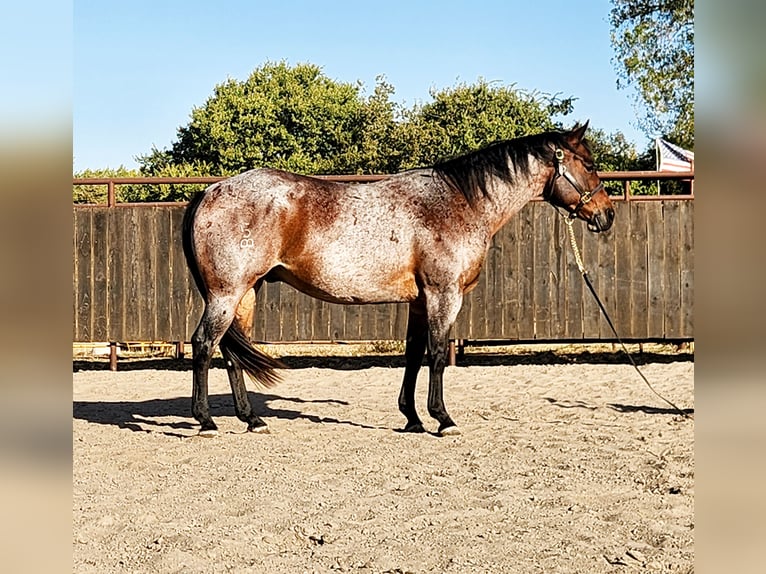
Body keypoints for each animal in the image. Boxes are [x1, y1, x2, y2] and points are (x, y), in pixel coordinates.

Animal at [183, 121, 616, 436]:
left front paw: (412, 418)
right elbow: (437, 355)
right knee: (204, 344)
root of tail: (211, 191)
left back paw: (252, 419)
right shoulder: (444, 295)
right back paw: (206, 421)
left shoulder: (420, 301)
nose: (607, 214)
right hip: (226, 294)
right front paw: (443, 419)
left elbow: (413, 355)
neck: (459, 202)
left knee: (231, 352)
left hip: (245, 294)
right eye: (589, 164)